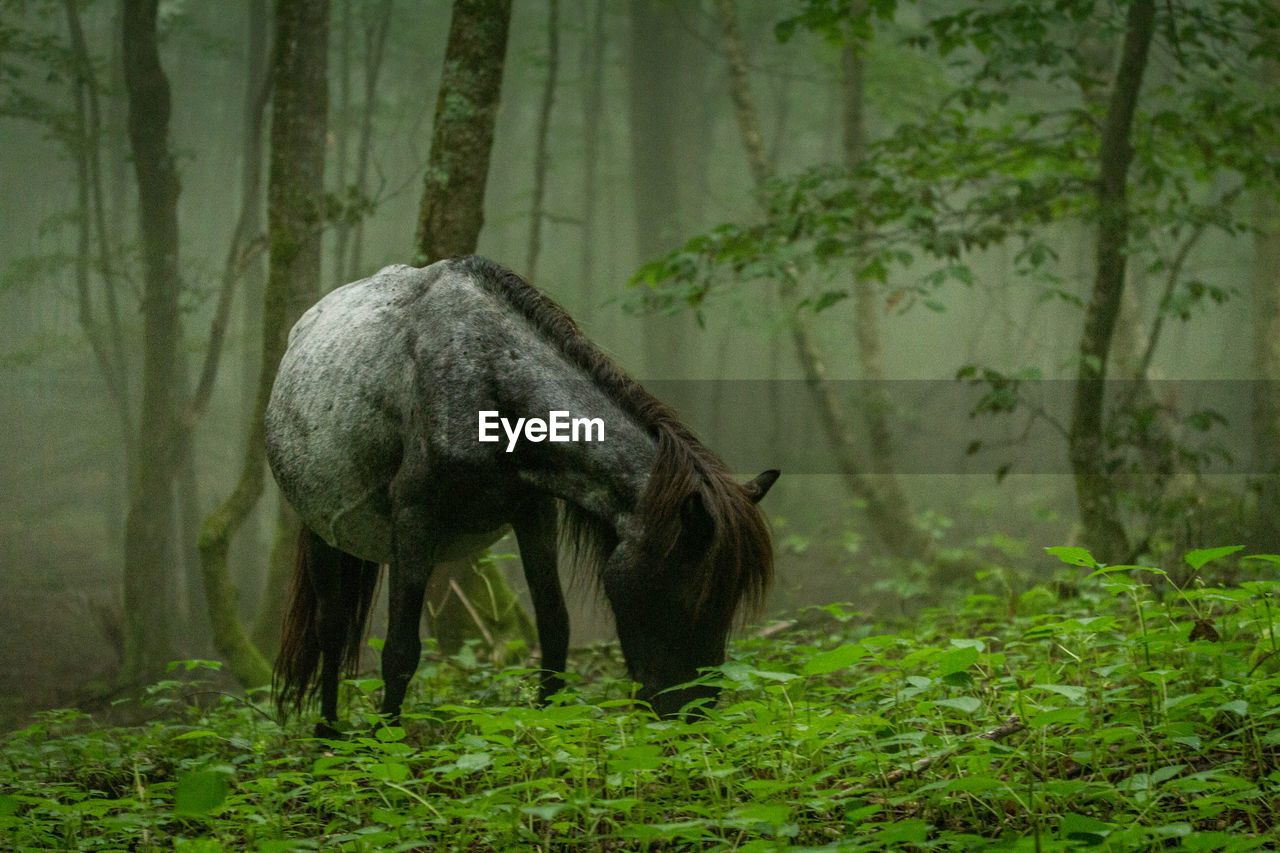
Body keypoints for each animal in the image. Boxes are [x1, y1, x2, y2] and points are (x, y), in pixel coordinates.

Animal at [264, 253, 773, 732]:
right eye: (689, 592)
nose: (692, 715)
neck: (488, 380)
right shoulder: (414, 518)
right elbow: (400, 651)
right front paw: (384, 745)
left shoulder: (534, 513)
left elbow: (554, 627)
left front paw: (547, 723)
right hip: (322, 532)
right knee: (330, 625)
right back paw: (327, 733)